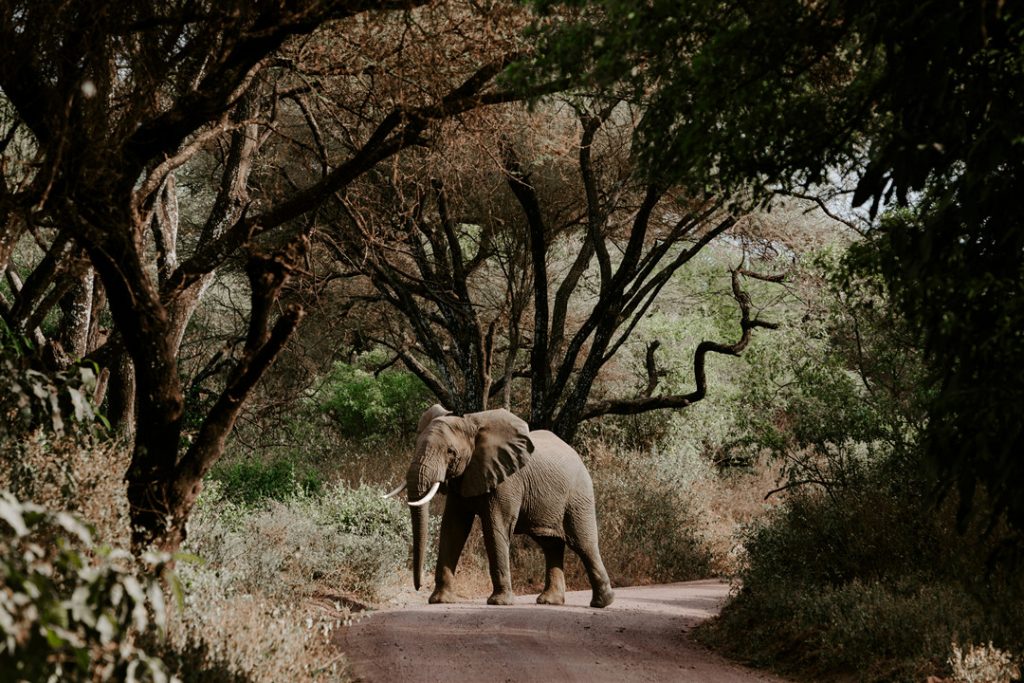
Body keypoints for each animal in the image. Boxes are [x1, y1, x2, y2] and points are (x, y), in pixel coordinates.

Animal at [389, 401, 614, 610]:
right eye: (416, 444)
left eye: (451, 452)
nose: (417, 586)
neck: (471, 425)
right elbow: (453, 528)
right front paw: (439, 600)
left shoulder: (507, 481)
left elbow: (494, 528)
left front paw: (499, 603)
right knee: (551, 544)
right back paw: (550, 601)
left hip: (578, 496)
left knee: (583, 544)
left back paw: (602, 603)